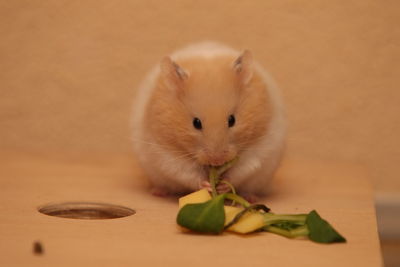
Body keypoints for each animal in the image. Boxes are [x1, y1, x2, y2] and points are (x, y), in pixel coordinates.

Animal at [133, 42, 286, 200]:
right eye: (196, 123)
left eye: (232, 120)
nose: (217, 161)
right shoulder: (166, 154)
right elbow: (186, 173)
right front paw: (207, 186)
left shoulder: (258, 149)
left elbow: (240, 170)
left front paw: (223, 186)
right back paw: (158, 192)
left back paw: (251, 198)